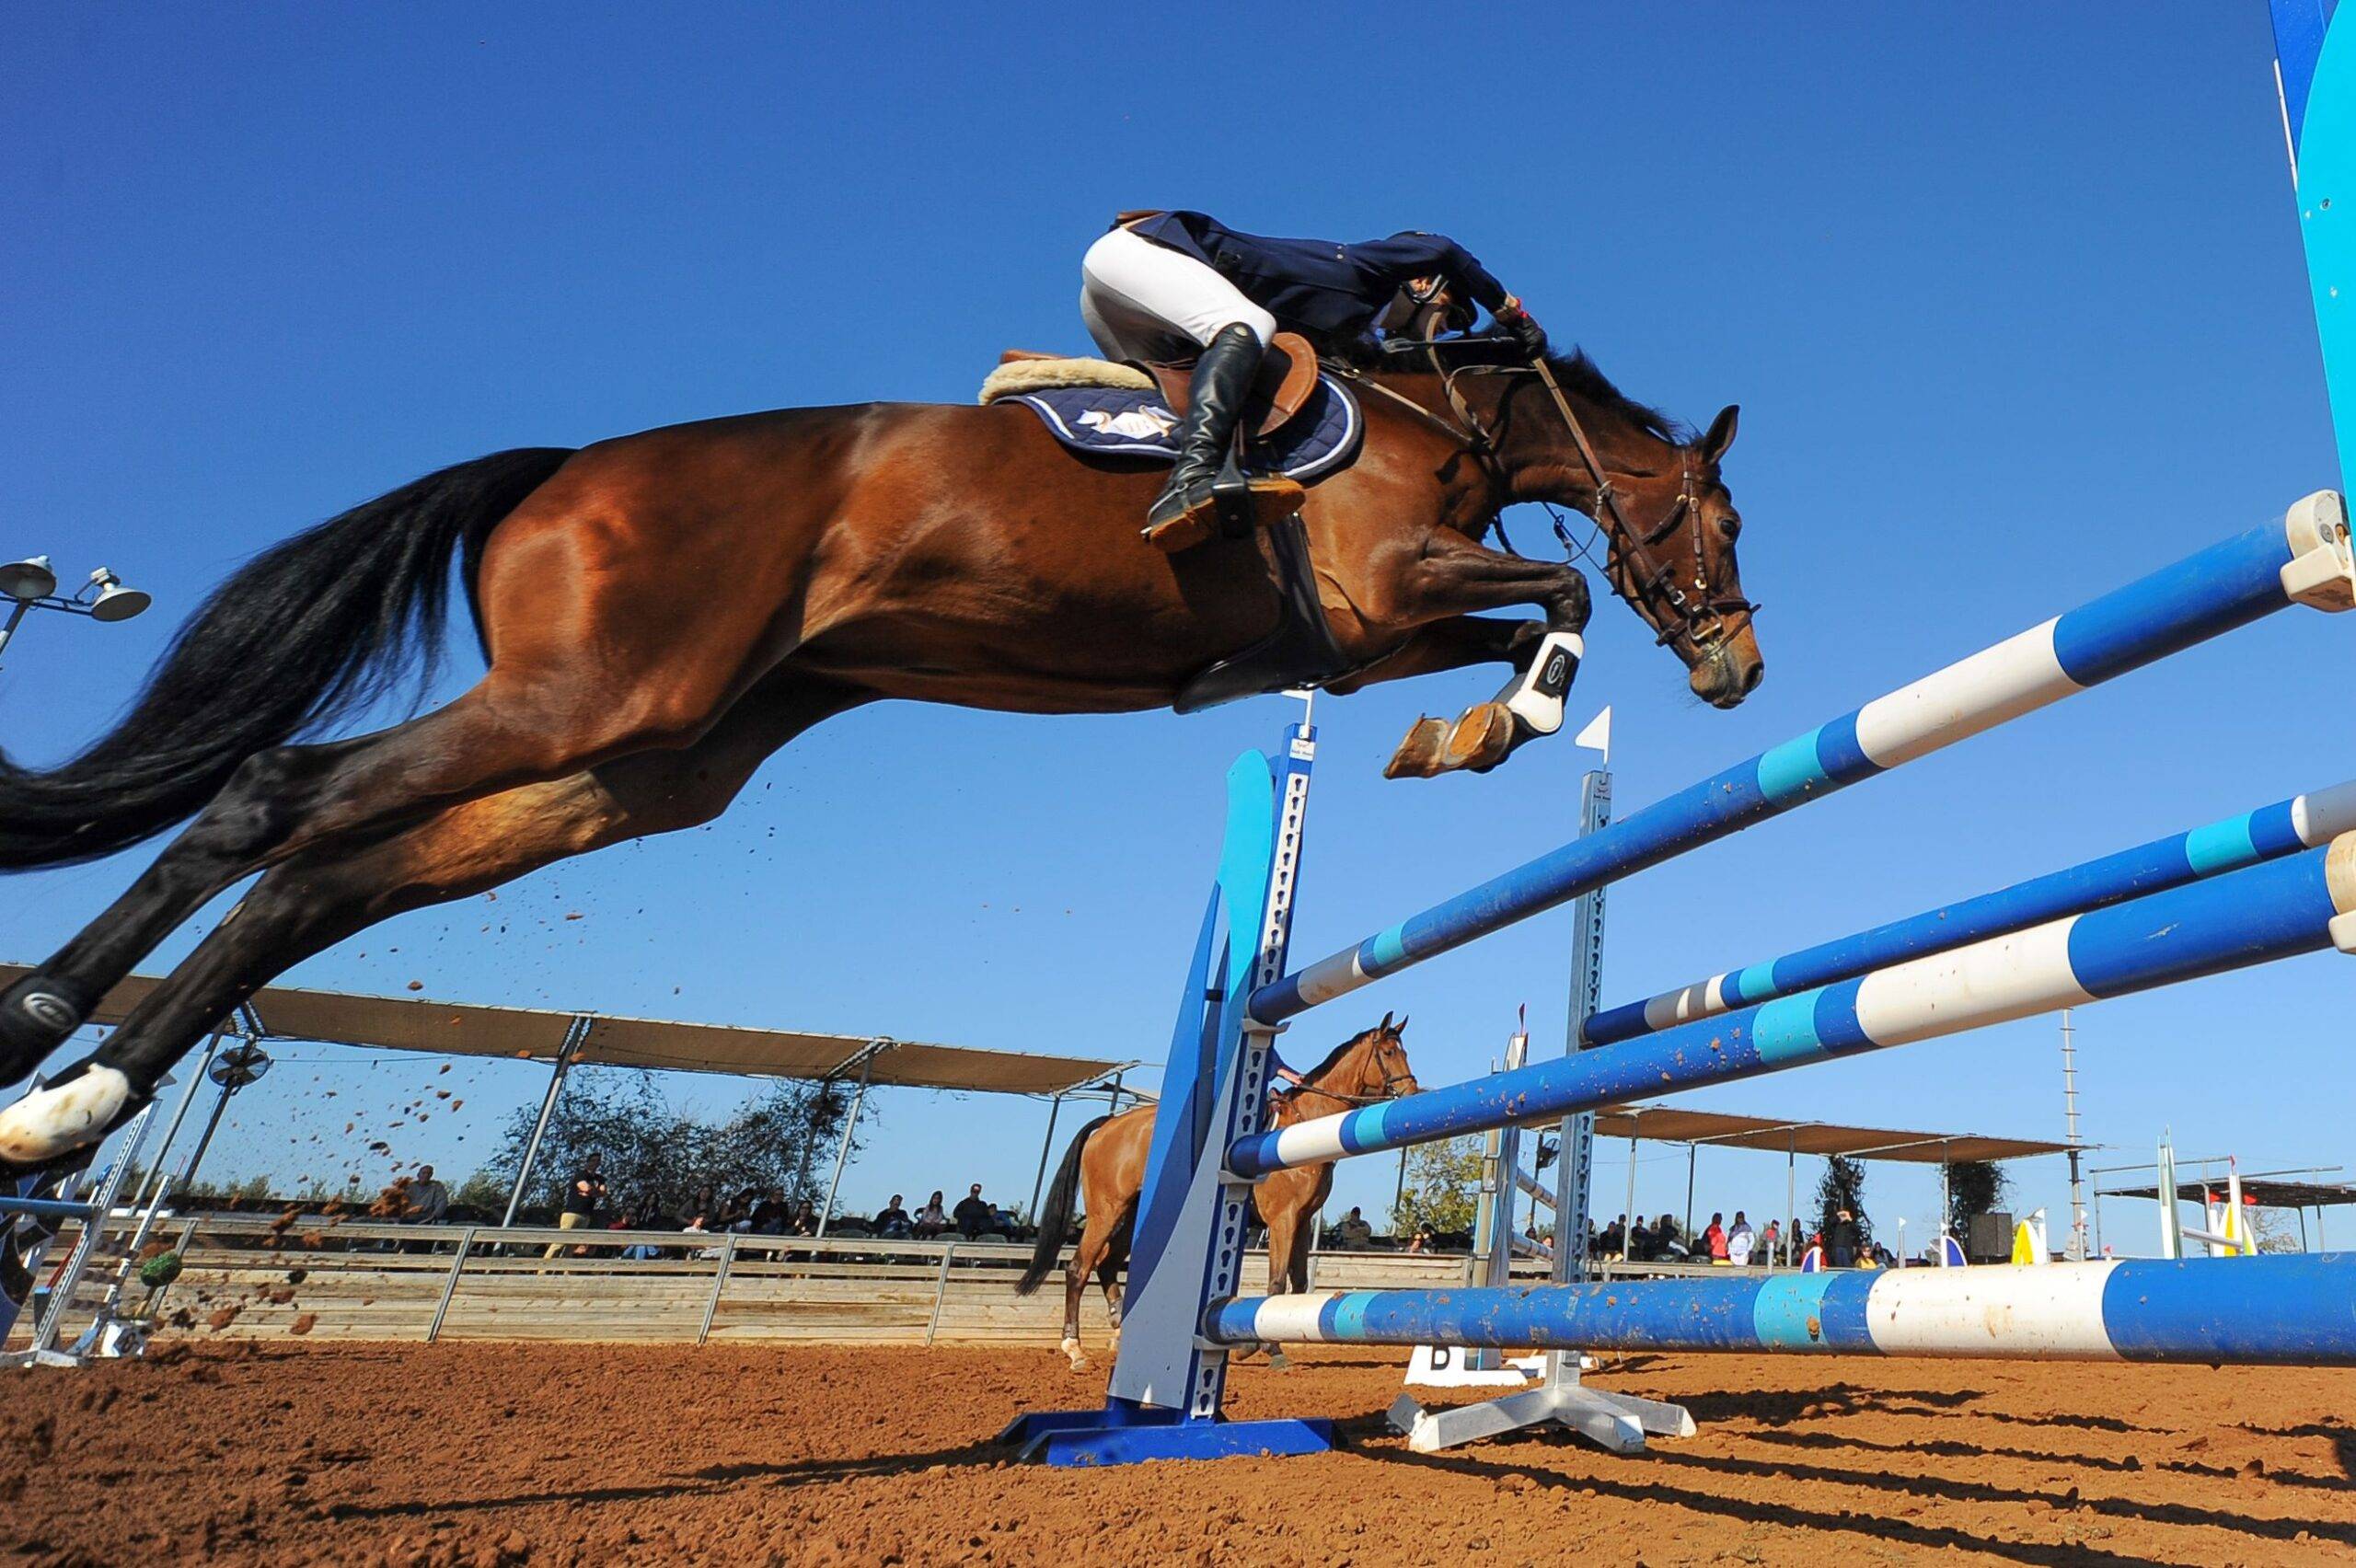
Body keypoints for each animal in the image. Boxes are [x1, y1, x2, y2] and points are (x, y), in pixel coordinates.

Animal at [0, 340, 1761, 1172]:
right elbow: (1564, 592)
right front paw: (1507, 720)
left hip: (647, 761)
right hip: (589, 694)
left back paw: (72, 1098)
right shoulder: (1384, 586)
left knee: (322, 878)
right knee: (275, 797)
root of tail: (564, 467)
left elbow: (1522, 615)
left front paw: (1465, 728)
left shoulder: (1368, 630)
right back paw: (45, 1032)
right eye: (1725, 518)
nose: (1741, 666)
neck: (1436, 419)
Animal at [1012, 1012, 1414, 1365]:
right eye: (1388, 1052)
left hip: (1131, 1215)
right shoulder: (1282, 1220)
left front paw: (1259, 1341)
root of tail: (1109, 1124)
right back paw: (1074, 1348)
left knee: (1108, 1265)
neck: (1306, 1126)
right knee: (1079, 1268)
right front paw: (1264, 1348)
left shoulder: (1302, 1221)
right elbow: (1276, 1283)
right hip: (1106, 1211)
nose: (1411, 1091)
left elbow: (1297, 1284)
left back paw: (1121, 1333)